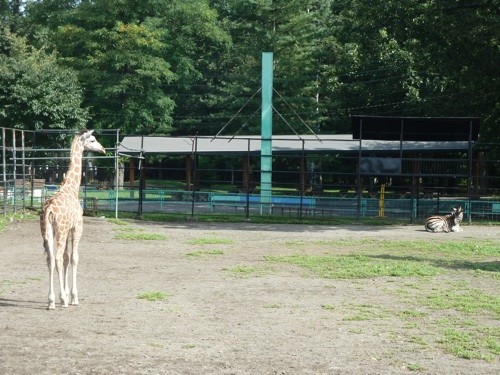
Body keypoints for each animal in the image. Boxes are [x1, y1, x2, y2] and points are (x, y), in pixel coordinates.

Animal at [40, 130, 105, 312]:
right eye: (93, 140)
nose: (103, 149)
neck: (72, 187)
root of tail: (49, 210)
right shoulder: (77, 227)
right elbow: (74, 257)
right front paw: (73, 297)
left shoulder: (68, 229)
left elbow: (68, 257)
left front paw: (67, 295)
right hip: (60, 232)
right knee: (57, 258)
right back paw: (61, 300)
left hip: (47, 232)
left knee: (50, 259)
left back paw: (51, 301)